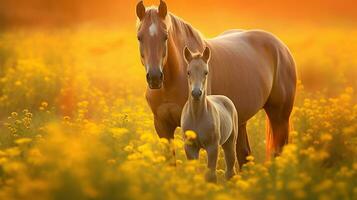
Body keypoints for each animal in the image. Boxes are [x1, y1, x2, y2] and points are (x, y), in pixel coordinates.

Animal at [135, 0, 296, 166]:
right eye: (139, 37)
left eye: (165, 36)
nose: (155, 77)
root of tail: (281, 47)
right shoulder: (163, 127)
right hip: (240, 120)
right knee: (243, 155)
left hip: (280, 117)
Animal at [181, 45, 236, 183]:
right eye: (188, 72)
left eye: (206, 72)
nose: (196, 93)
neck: (196, 116)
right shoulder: (190, 147)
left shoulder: (212, 147)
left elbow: (211, 175)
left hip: (230, 142)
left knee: (230, 170)